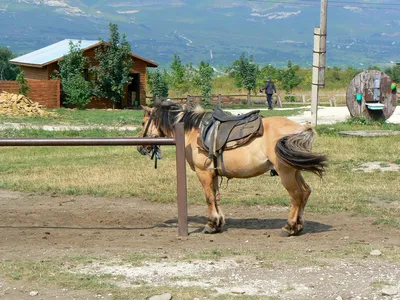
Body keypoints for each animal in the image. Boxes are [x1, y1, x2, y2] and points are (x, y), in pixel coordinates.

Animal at [138, 103, 328, 237]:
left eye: (143, 123)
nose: (140, 148)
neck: (193, 131)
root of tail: (301, 128)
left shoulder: (203, 173)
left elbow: (208, 198)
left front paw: (210, 224)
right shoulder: (213, 173)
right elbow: (216, 197)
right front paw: (218, 223)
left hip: (285, 172)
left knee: (296, 195)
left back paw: (289, 227)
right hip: (295, 170)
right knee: (305, 192)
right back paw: (298, 226)